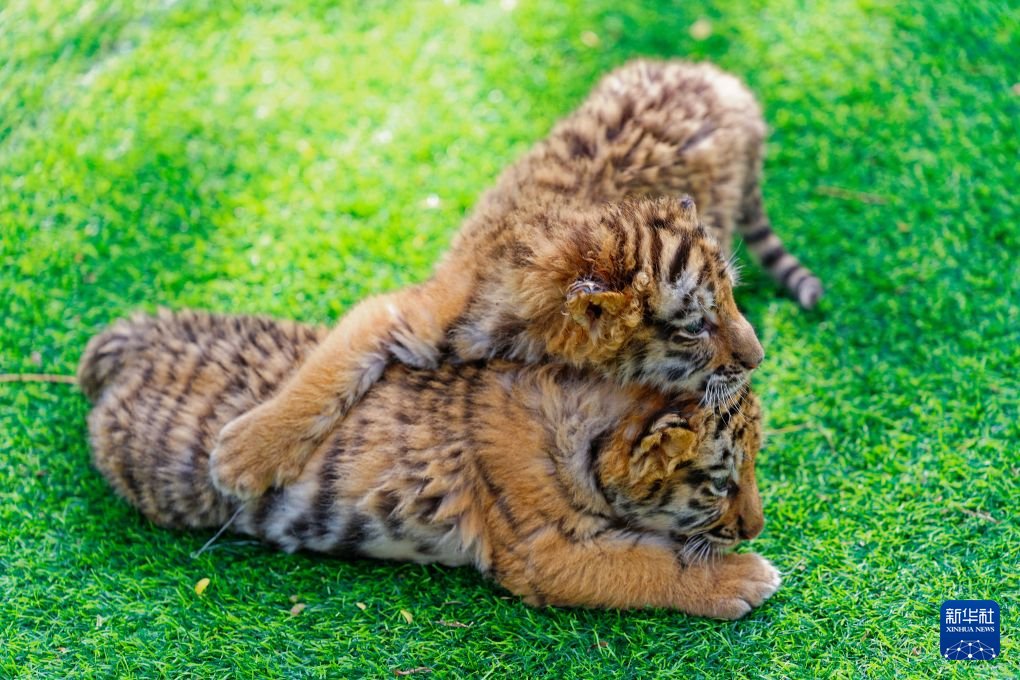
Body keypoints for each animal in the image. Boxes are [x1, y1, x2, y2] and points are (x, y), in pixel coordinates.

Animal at [79, 309, 781, 619]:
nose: (756, 527)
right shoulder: (542, 553)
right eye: (720, 484)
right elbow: (647, 567)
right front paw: (745, 578)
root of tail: (140, 334)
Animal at [210, 58, 820, 501]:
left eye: (733, 299)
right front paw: (246, 456)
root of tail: (721, 80)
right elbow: (322, 376)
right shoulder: (403, 313)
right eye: (694, 329)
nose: (759, 358)